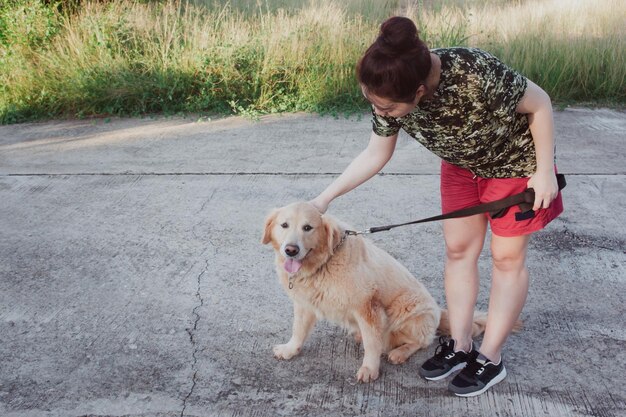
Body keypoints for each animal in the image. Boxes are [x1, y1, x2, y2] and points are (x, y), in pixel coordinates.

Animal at [260, 201, 486, 380]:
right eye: (284, 225)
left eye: (308, 227)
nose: (291, 250)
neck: (324, 263)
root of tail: (439, 311)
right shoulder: (304, 303)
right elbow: (298, 330)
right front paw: (290, 349)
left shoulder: (367, 308)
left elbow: (372, 344)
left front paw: (370, 369)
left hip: (409, 310)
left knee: (422, 342)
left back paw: (400, 352)